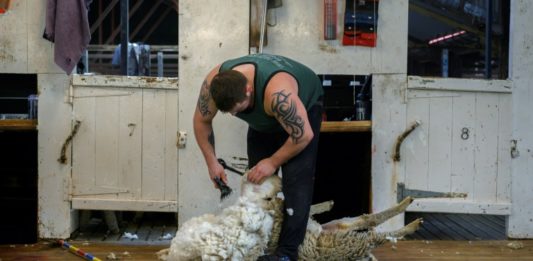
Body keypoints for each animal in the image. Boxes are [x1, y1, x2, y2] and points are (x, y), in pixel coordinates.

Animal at [158, 173, 420, 260]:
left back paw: (407, 205)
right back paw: (411, 223)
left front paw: (325, 202)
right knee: (377, 231)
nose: (278, 179)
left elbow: (304, 208)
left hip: (340, 225)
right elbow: (293, 208)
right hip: (349, 240)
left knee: (366, 219)